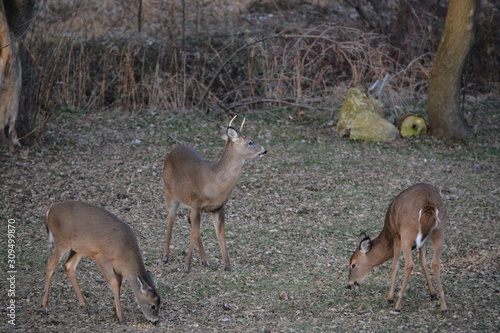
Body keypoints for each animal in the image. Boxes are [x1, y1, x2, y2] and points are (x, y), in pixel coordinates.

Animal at [163, 115, 266, 272]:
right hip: (169, 193)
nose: (264, 150)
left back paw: (205, 261)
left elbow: (220, 234)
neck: (214, 184)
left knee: (187, 220)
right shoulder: (196, 204)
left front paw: (228, 265)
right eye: (250, 142)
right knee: (170, 219)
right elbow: (194, 233)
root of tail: (174, 149)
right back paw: (166, 257)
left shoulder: (218, 207)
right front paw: (186, 266)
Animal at [348, 183, 450, 312]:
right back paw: (444, 306)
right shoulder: (423, 242)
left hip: (407, 233)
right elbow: (423, 262)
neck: (388, 232)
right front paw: (433, 293)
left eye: (353, 264)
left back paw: (397, 305)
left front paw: (389, 298)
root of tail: (428, 206)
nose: (349, 285)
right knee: (435, 262)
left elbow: (395, 265)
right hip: (440, 232)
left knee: (409, 265)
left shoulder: (397, 236)